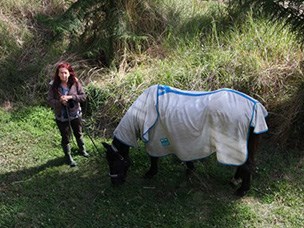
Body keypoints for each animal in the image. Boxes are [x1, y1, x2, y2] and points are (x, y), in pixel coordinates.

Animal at [101, 84, 268, 197]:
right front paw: (190, 171)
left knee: (247, 166)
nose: (115, 183)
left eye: (114, 161)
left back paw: (242, 190)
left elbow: (153, 158)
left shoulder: (155, 141)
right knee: (245, 163)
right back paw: (235, 180)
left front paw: (150, 173)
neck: (142, 112)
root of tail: (256, 107)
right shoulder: (182, 142)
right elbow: (187, 159)